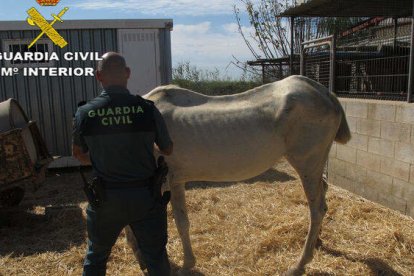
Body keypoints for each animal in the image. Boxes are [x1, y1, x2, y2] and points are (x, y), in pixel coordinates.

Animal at [125, 74, 350, 274]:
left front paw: (184, 265)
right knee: (323, 196)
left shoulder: (166, 181)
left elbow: (176, 224)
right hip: (314, 167)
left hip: (307, 165)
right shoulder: (175, 181)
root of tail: (325, 93)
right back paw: (317, 242)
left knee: (317, 209)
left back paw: (299, 264)